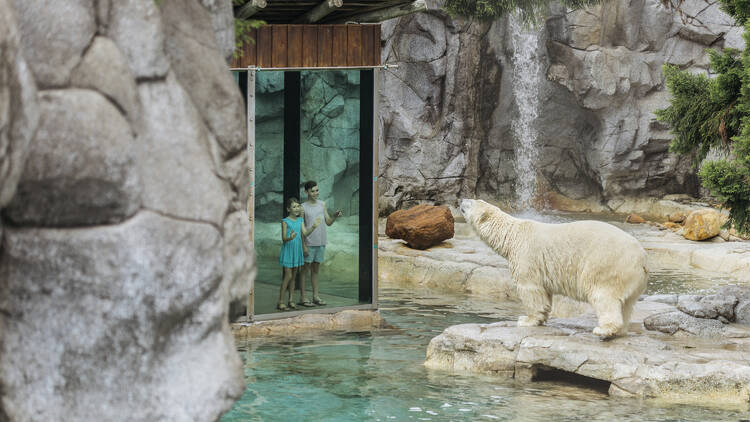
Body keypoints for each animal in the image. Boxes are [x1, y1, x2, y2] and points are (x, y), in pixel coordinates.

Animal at [462, 199, 648, 338]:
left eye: (471, 202)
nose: (462, 199)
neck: (512, 235)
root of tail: (642, 258)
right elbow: (544, 294)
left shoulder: (526, 257)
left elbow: (531, 290)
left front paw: (526, 320)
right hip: (630, 277)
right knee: (627, 304)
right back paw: (621, 329)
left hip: (606, 265)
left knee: (603, 295)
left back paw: (604, 329)